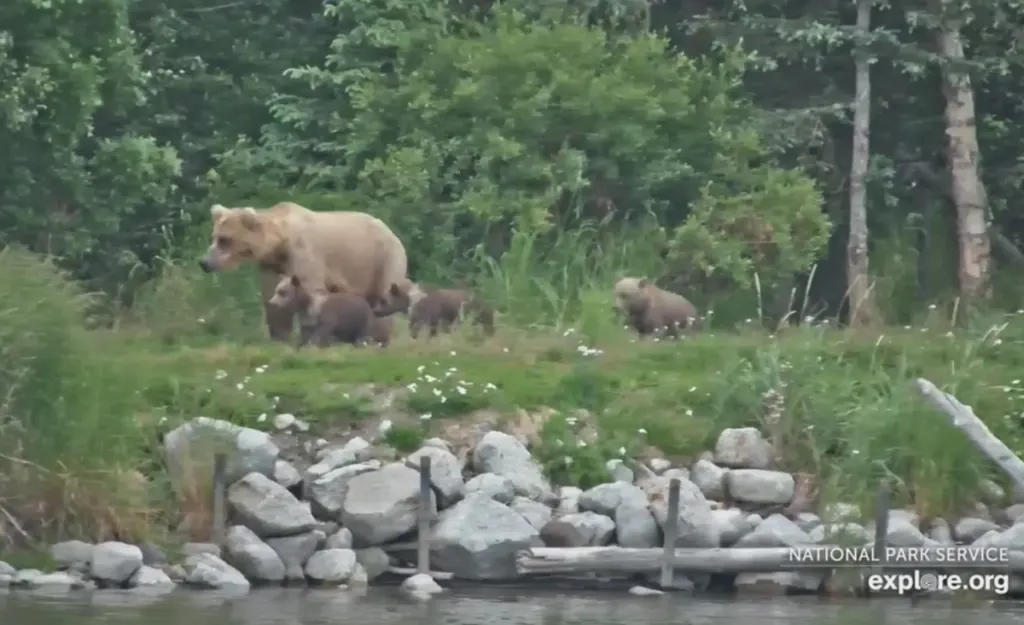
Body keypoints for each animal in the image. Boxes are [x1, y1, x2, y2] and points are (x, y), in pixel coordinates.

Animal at [198, 201, 408, 342]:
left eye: (225, 239)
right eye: (213, 237)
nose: (204, 262)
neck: (280, 245)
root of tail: (391, 231)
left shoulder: (304, 253)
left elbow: (309, 290)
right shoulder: (271, 265)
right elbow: (271, 296)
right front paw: (280, 337)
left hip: (381, 259)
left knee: (383, 295)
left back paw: (378, 337)